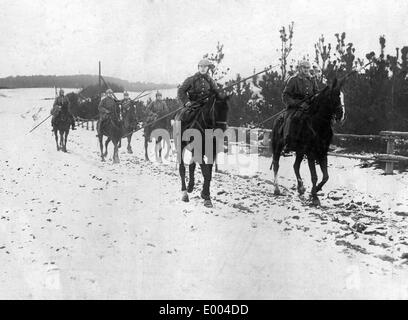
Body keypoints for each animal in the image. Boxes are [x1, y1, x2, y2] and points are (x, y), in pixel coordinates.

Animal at [270, 77, 344, 205]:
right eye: (334, 96)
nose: (341, 115)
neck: (318, 124)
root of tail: (278, 119)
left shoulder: (323, 152)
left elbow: (326, 176)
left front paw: (316, 190)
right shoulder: (311, 153)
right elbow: (314, 176)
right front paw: (314, 197)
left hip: (300, 151)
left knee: (295, 166)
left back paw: (300, 187)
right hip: (277, 147)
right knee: (276, 165)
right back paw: (277, 189)